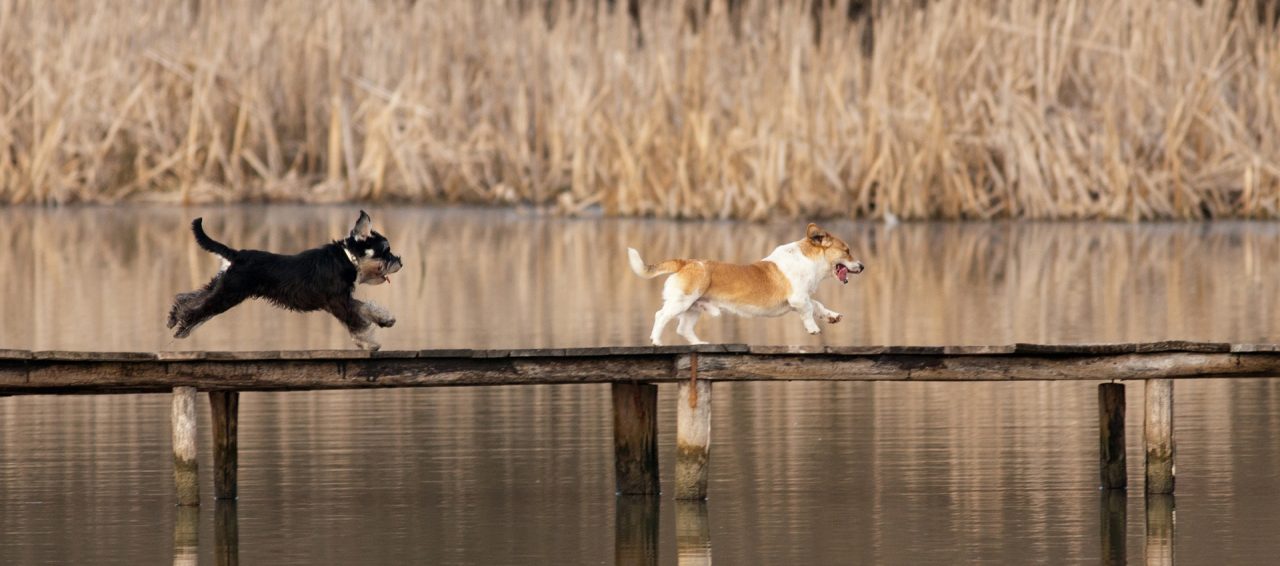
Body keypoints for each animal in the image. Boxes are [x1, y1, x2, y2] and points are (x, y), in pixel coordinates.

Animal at [167, 210, 401, 348]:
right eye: (386, 250)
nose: (400, 262)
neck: (346, 257)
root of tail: (236, 254)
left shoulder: (343, 298)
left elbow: (364, 307)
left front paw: (385, 319)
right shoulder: (338, 302)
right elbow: (355, 321)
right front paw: (368, 342)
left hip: (220, 286)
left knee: (190, 298)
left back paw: (174, 317)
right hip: (228, 294)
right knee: (198, 310)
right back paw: (182, 328)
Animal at [627, 222, 865, 343]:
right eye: (847, 251)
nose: (862, 267)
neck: (808, 260)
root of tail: (686, 262)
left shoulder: (803, 298)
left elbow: (818, 305)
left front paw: (831, 316)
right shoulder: (798, 299)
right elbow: (808, 310)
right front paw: (813, 328)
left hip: (693, 308)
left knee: (683, 329)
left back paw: (702, 345)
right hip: (681, 302)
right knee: (661, 316)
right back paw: (656, 341)